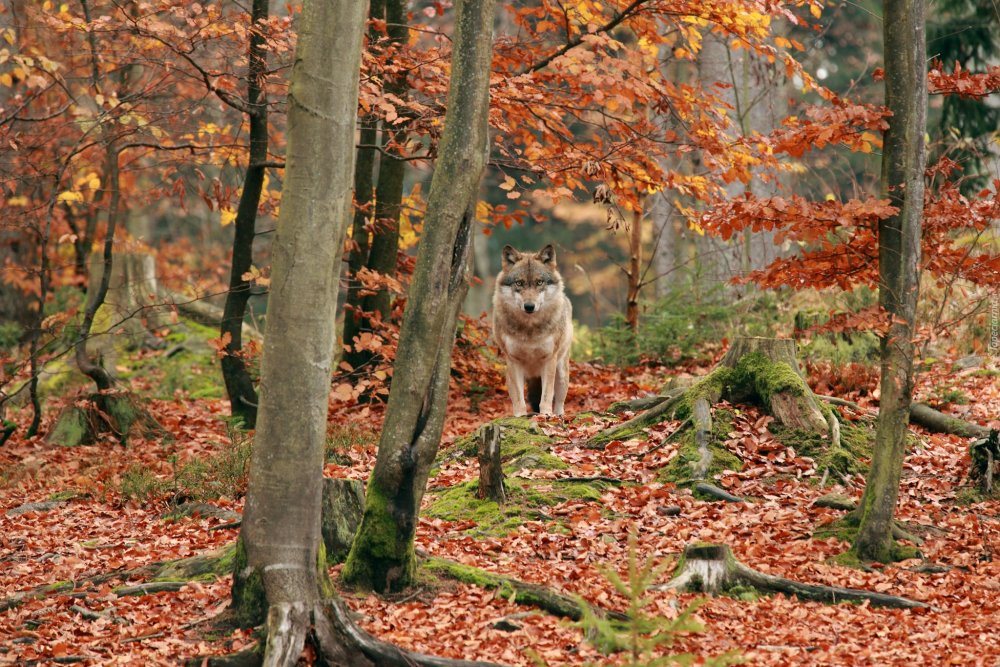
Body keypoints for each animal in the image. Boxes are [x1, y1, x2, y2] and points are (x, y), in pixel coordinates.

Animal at [490, 243, 572, 414]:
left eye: (539, 282)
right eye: (519, 283)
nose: (529, 306)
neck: (529, 330)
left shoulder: (549, 360)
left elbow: (547, 395)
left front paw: (546, 414)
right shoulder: (513, 361)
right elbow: (518, 398)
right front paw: (520, 415)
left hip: (561, 373)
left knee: (560, 402)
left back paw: (558, 415)